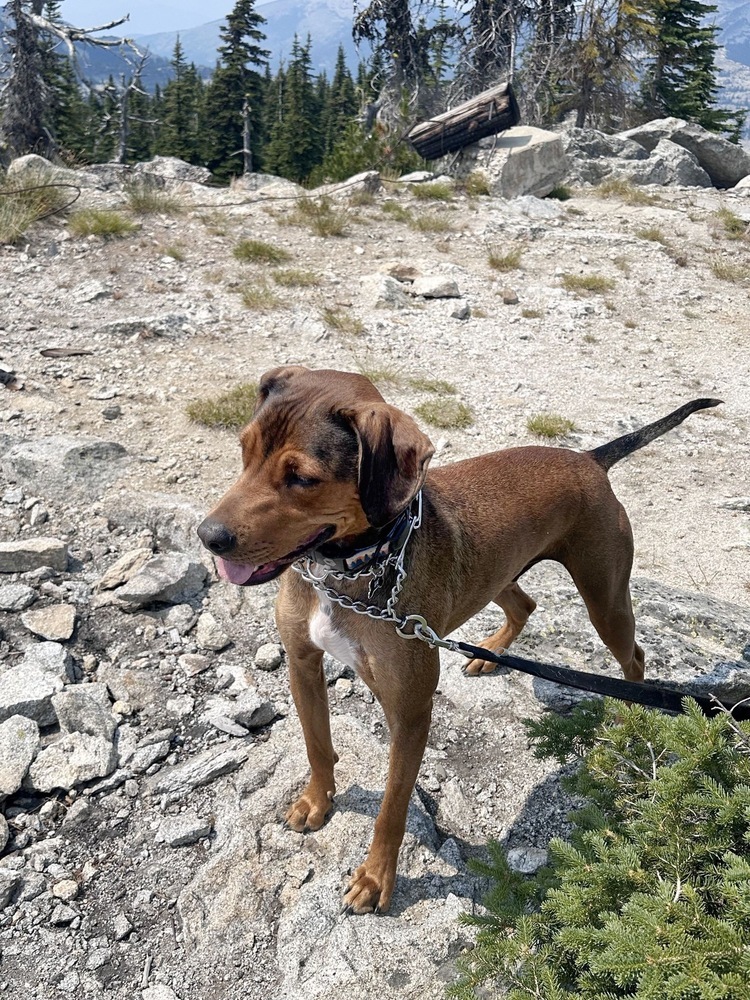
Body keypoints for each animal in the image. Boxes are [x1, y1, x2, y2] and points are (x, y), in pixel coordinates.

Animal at [200, 366, 724, 916]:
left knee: (634, 658)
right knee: (525, 606)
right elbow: (317, 746)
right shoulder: (303, 663)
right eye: (244, 450)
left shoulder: (409, 711)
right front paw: (316, 801)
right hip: (498, 574)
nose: (207, 536)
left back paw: (628, 716)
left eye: (303, 478)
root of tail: (588, 459)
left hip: (605, 598)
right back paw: (488, 655)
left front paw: (375, 878)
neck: (347, 570)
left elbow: (392, 807)